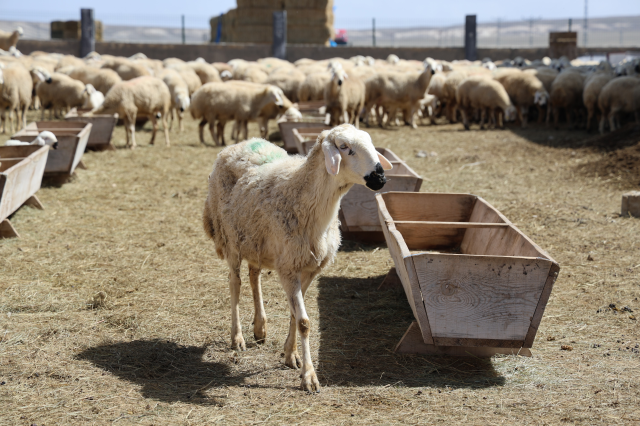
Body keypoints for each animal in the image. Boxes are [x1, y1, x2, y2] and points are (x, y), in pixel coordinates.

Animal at [205, 122, 392, 390]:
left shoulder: (310, 267)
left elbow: (295, 315)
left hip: (254, 241)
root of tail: (241, 143)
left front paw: (290, 355)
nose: (380, 177)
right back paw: (237, 336)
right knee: (235, 283)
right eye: (344, 147)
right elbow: (304, 321)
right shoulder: (289, 268)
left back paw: (260, 328)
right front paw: (309, 376)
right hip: (231, 241)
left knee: (254, 276)